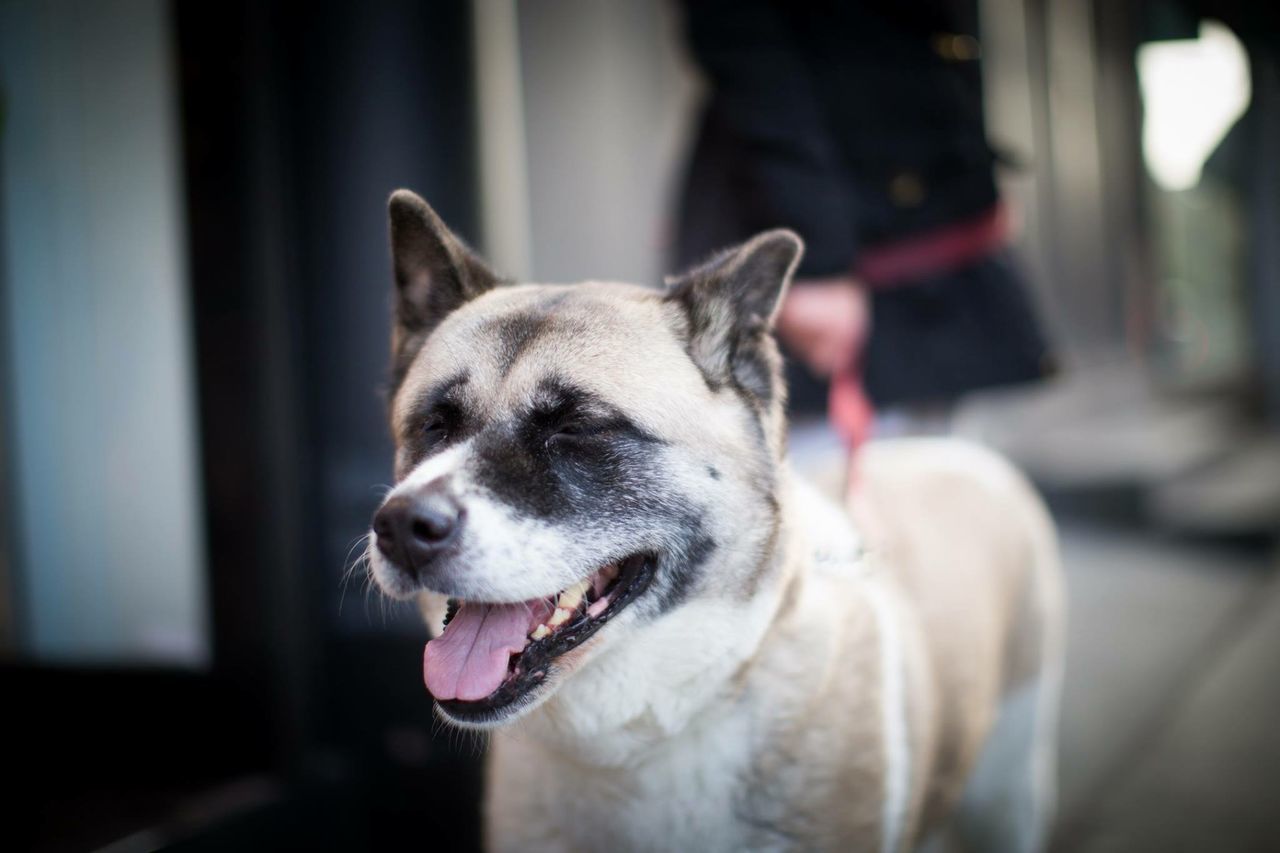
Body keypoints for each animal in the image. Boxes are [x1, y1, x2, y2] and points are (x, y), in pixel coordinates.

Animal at [368, 189, 1059, 845]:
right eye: (435, 423)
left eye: (575, 428)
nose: (401, 528)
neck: (642, 745)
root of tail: (954, 451)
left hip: (1006, 794)